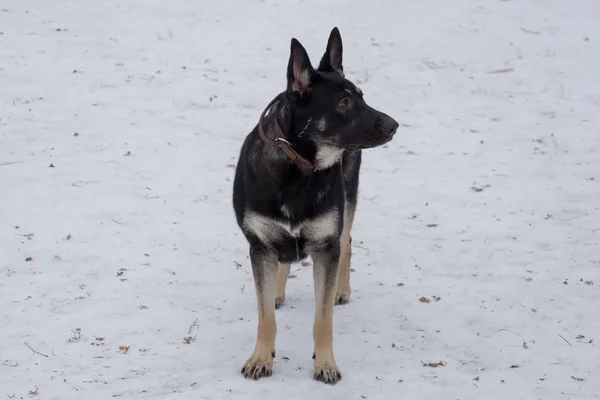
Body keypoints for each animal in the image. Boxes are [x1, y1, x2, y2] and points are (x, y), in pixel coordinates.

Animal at [233, 27, 398, 384]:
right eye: (344, 102)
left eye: (362, 95)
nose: (394, 125)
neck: (299, 167)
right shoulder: (259, 247)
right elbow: (264, 315)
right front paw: (261, 358)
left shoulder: (326, 246)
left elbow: (323, 320)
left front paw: (325, 364)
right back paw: (277, 290)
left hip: (347, 203)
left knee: (347, 241)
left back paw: (340, 289)